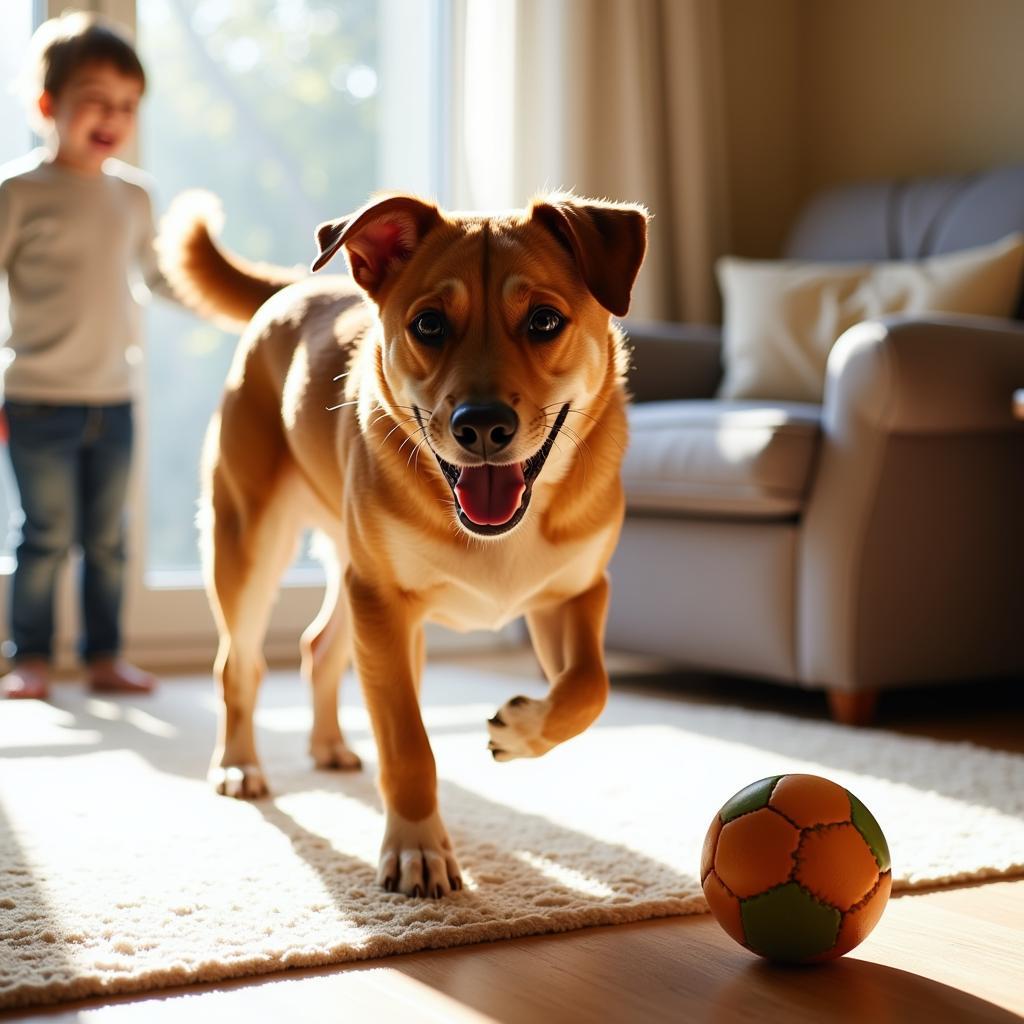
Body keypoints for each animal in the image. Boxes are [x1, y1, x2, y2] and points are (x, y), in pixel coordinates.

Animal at [159, 190, 647, 897]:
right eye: (430, 325)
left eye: (545, 320)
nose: (482, 426)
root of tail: (296, 290)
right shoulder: (385, 602)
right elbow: (408, 742)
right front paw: (417, 848)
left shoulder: (575, 592)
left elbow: (591, 687)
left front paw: (522, 730)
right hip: (248, 542)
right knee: (239, 664)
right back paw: (239, 764)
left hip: (350, 570)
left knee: (320, 647)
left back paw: (329, 747)